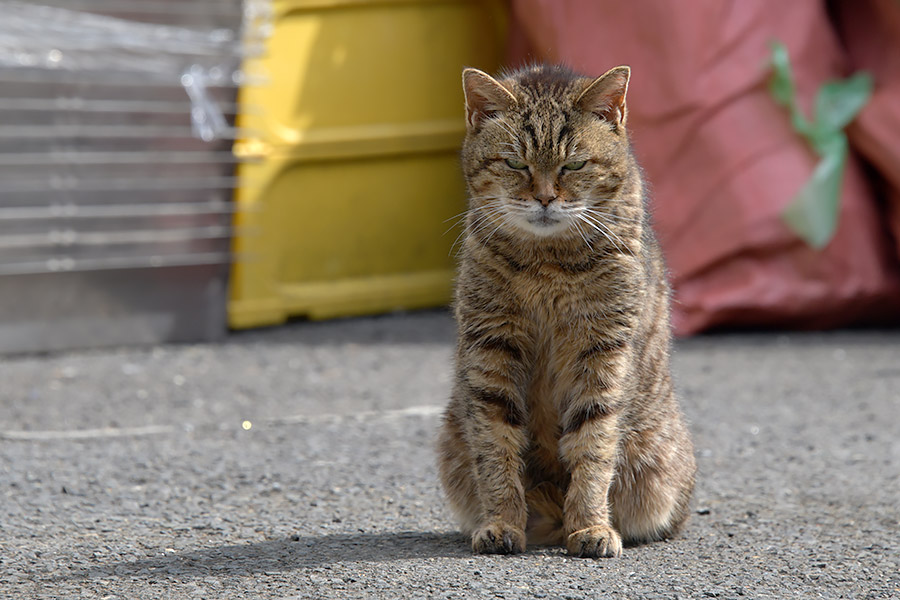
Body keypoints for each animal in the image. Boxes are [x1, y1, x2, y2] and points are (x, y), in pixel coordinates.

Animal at [436, 63, 696, 556]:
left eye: (573, 165)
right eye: (515, 163)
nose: (544, 198)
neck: (547, 262)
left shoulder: (604, 349)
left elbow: (594, 443)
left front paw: (591, 525)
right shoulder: (491, 344)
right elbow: (495, 444)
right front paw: (502, 521)